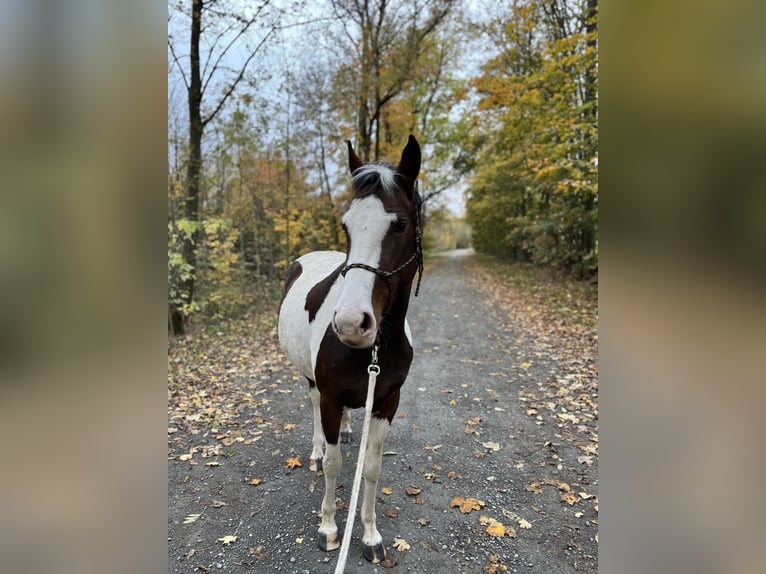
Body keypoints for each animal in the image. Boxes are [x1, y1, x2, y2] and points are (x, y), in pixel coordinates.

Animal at [278, 136, 424, 568]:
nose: (349, 324)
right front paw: (328, 528)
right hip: (311, 381)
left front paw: (372, 536)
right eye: (346, 225)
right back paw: (314, 450)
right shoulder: (329, 395)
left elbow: (371, 468)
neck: (372, 350)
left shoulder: (386, 402)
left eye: (400, 224)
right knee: (312, 408)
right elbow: (333, 462)